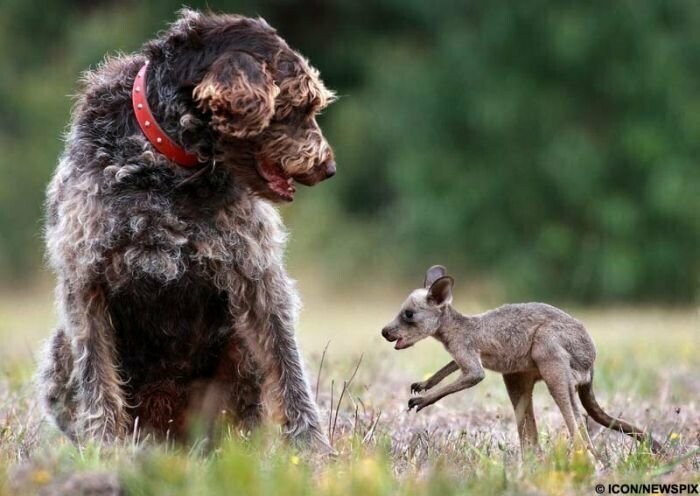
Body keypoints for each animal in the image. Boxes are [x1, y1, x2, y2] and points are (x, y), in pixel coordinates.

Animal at [39, 7, 340, 452]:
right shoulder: (86, 279)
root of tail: (171, 437)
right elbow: (96, 375)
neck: (168, 164)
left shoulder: (257, 276)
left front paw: (312, 450)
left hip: (238, 347)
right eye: (299, 105)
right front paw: (105, 450)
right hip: (61, 349)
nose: (328, 167)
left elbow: (288, 367)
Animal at [380, 266, 660, 456]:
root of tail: (591, 367)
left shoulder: (466, 351)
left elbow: (473, 375)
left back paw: (582, 457)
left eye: (408, 315)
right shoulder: (464, 354)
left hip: (550, 351)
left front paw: (422, 400)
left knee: (575, 418)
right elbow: (449, 367)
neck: (453, 328)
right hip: (518, 375)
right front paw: (422, 385)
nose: (384, 332)